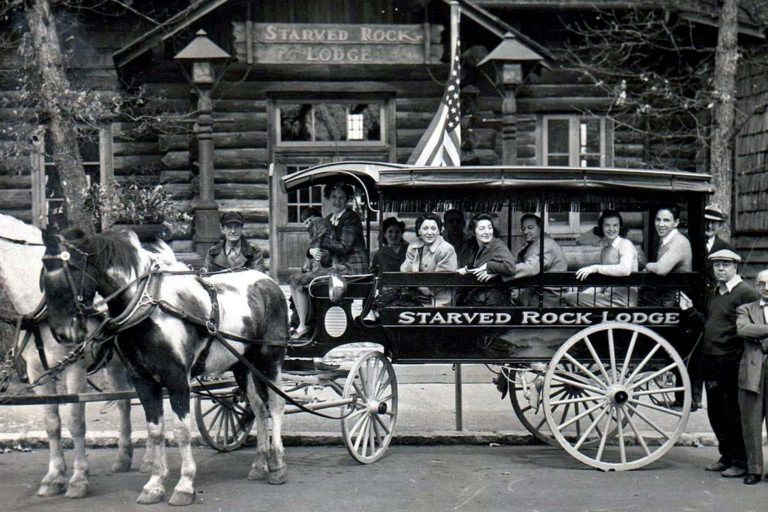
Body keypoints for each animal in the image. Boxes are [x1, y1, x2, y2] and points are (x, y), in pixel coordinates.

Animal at [0, 214, 134, 498]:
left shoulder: (75, 368)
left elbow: (75, 422)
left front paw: (78, 478)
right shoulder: (38, 373)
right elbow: (52, 422)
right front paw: (54, 476)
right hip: (115, 364)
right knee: (125, 402)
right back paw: (123, 458)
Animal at [41, 229, 288, 508]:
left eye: (72, 266)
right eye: (43, 270)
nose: (61, 333)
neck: (148, 306)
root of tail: (268, 281)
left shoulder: (177, 379)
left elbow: (181, 430)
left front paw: (184, 485)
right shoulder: (144, 381)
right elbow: (156, 431)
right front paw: (154, 485)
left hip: (270, 360)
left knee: (276, 405)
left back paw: (277, 465)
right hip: (243, 366)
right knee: (258, 408)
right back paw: (260, 464)